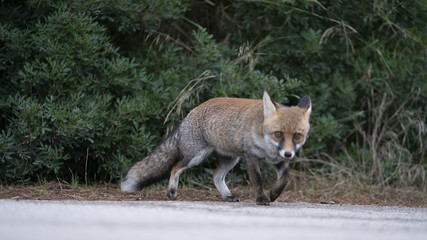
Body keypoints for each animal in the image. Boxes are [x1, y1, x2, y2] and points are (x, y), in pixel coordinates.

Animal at [120, 90, 310, 204]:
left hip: (231, 159)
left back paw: (227, 196)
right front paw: (262, 198)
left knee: (216, 177)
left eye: (297, 136)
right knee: (175, 168)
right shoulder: (251, 156)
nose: (288, 153)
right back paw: (171, 192)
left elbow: (284, 180)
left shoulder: (280, 161)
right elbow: (257, 180)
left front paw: (273, 195)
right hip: (195, 157)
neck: (268, 149)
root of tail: (191, 112)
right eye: (278, 134)